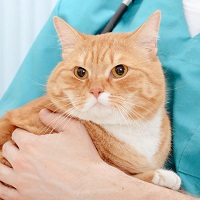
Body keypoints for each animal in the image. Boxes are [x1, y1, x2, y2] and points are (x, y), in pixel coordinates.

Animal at [0, 10, 181, 191]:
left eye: (120, 70)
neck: (132, 130)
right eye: (80, 72)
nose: (96, 90)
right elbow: (127, 174)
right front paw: (161, 175)